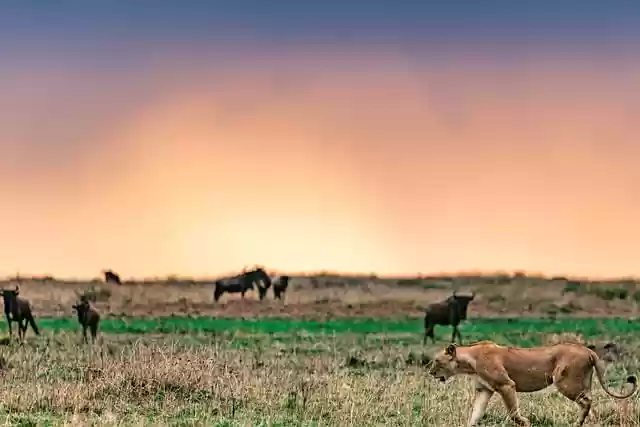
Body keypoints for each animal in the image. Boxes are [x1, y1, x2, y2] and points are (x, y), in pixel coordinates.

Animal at [428, 340, 637, 427]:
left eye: (437, 361)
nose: (430, 372)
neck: (468, 363)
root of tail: (589, 350)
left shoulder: (506, 385)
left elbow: (513, 413)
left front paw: (526, 423)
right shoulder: (484, 390)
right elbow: (475, 414)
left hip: (564, 381)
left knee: (587, 402)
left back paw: (576, 423)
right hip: (582, 382)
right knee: (590, 403)